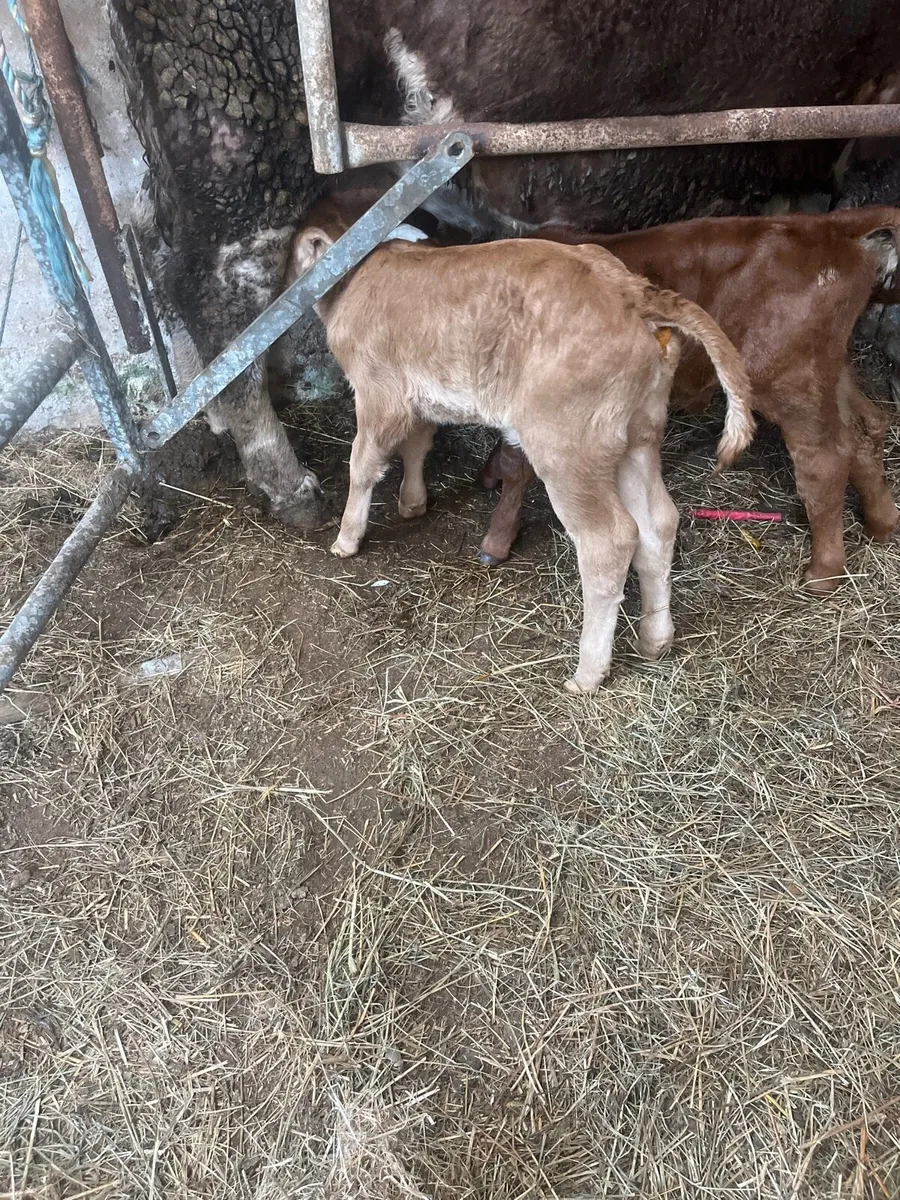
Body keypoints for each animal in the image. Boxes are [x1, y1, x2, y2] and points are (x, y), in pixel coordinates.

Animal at [286, 199, 754, 690]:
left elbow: (362, 463)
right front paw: (413, 503)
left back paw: (587, 673)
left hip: (566, 445)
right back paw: (655, 638)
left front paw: (346, 538)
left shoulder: (379, 392)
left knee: (609, 541)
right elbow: (418, 444)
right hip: (636, 435)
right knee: (658, 523)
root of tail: (629, 290)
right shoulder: (418, 395)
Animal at [473, 209, 900, 592]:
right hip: (829, 369)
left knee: (825, 459)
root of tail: (831, 227)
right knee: (867, 428)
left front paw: (496, 541)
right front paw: (489, 477)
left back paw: (824, 571)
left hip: (789, 379)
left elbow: (516, 464)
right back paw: (882, 524)